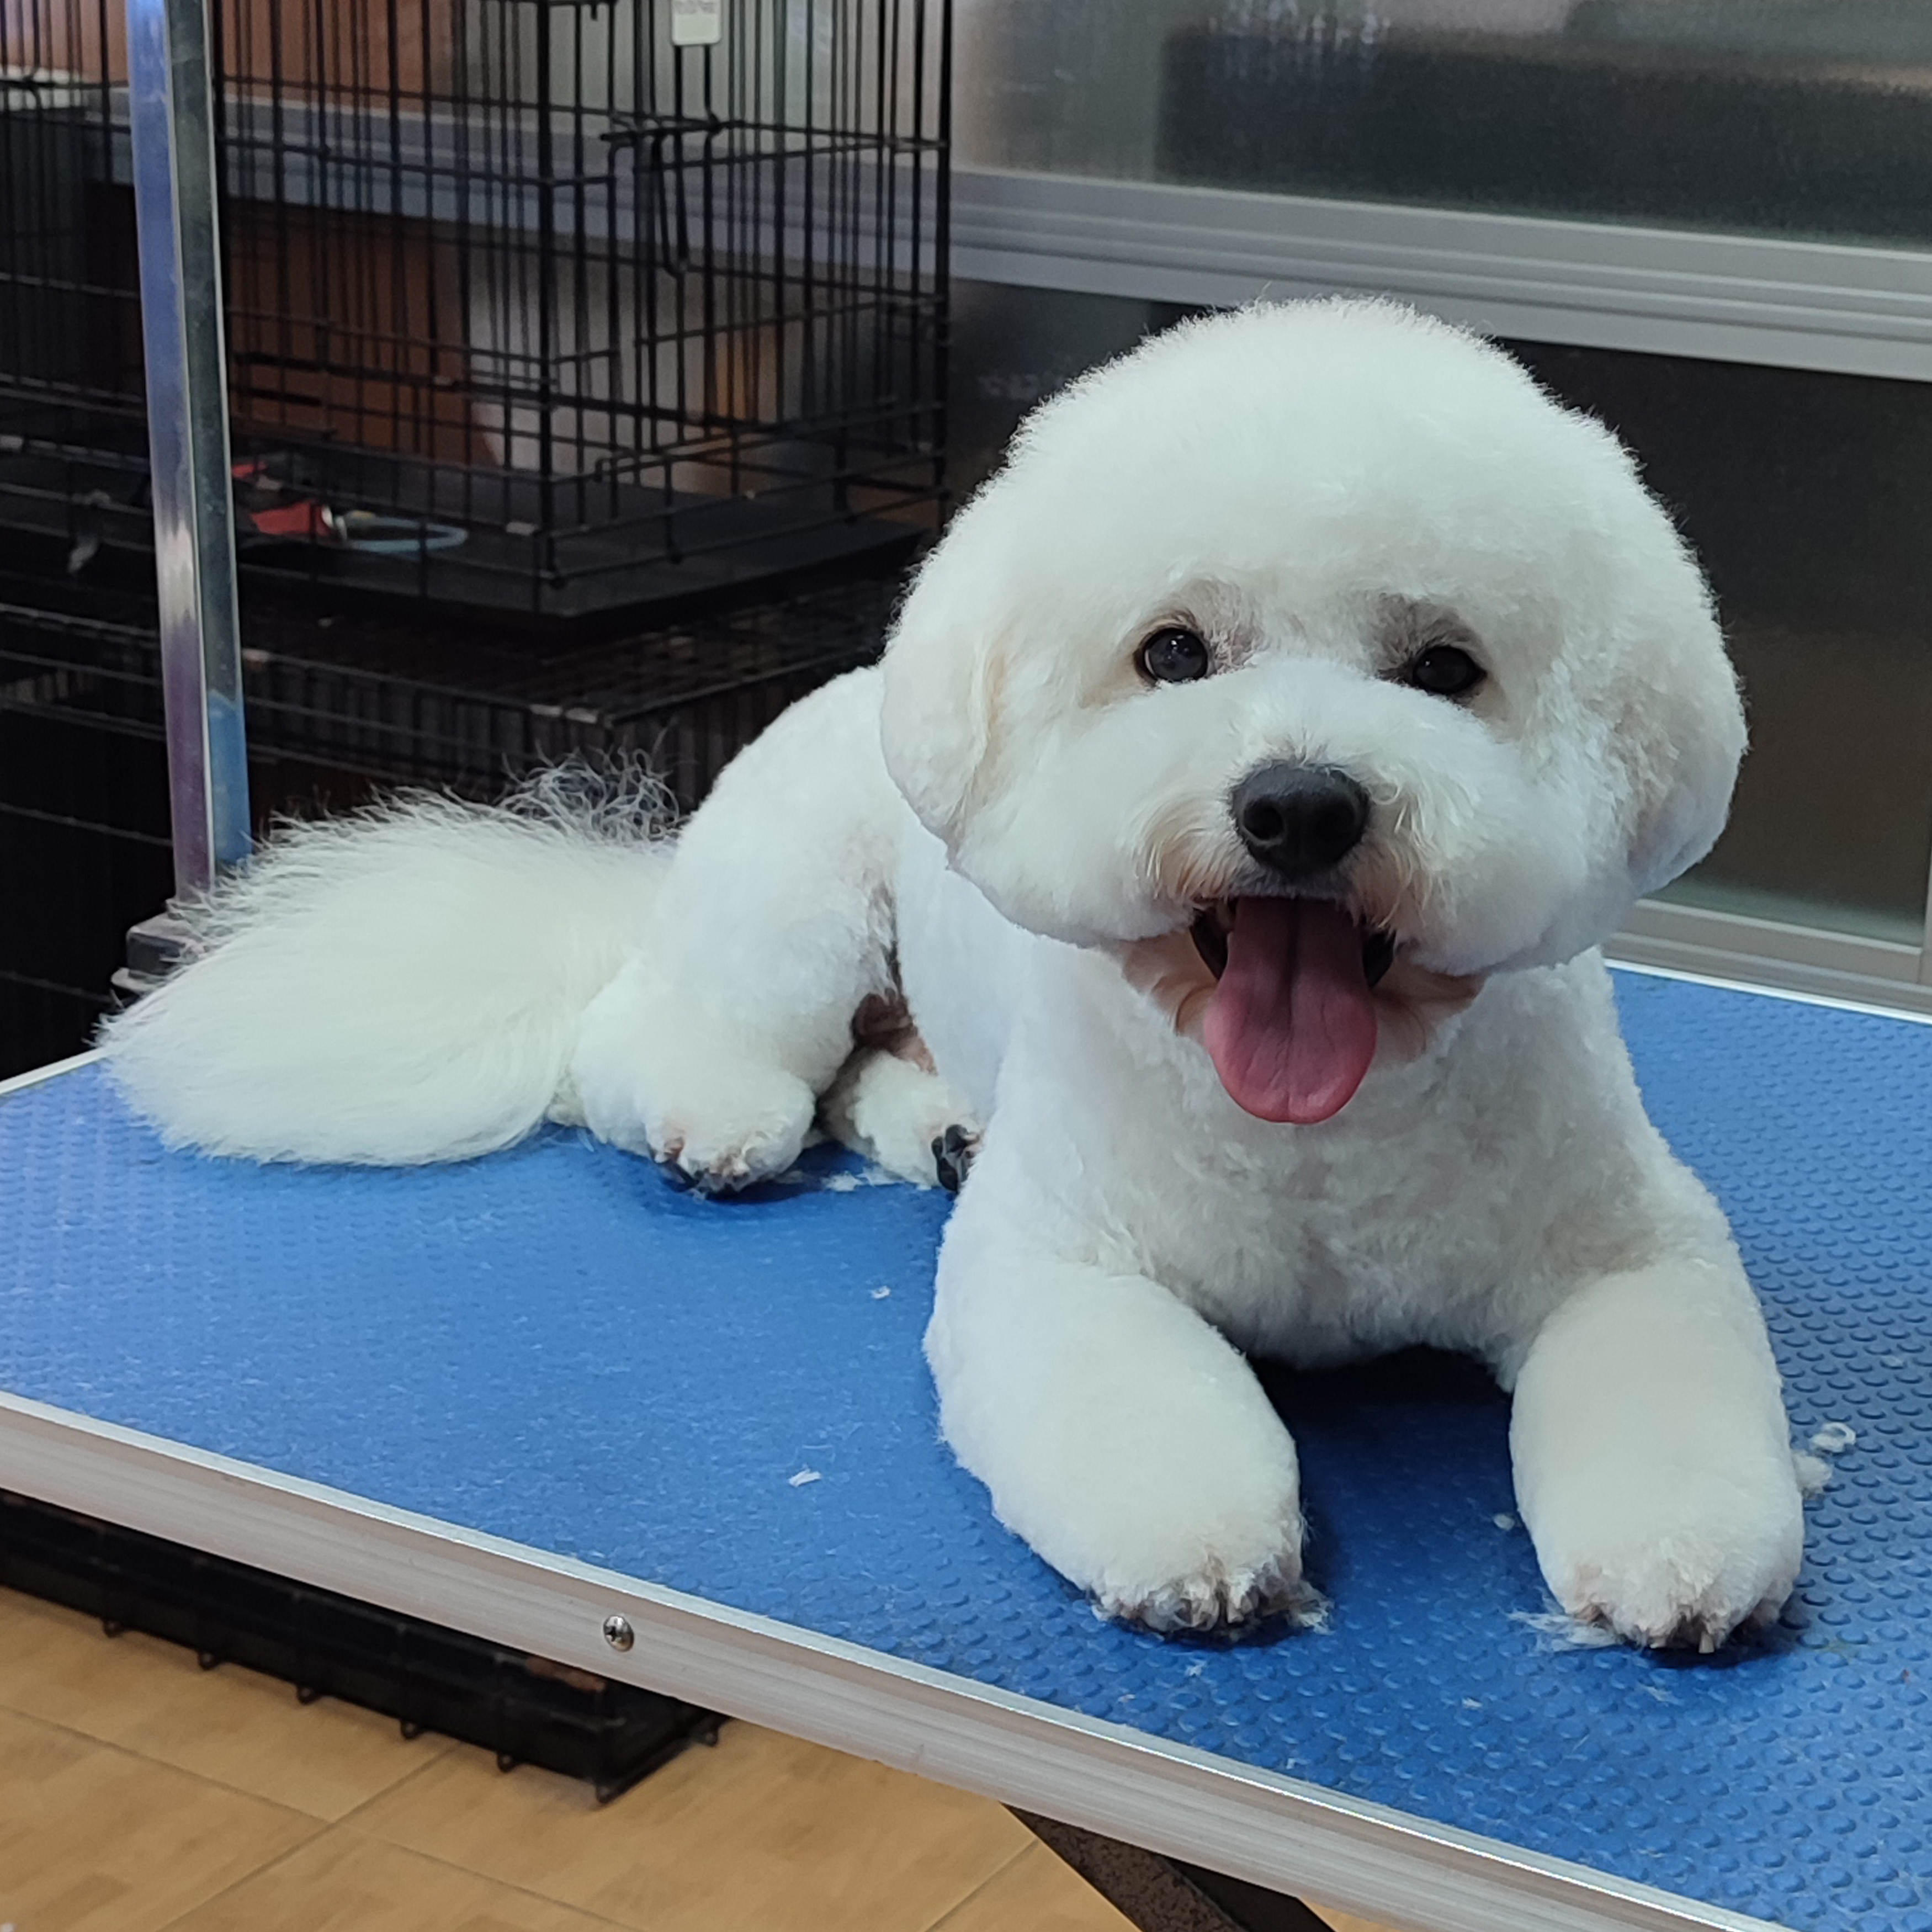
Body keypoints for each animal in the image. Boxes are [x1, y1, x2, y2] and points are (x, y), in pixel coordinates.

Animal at [105, 298, 1808, 1646]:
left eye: (1447, 668)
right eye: (1172, 652)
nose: (1300, 806)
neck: (1315, 1138)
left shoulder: (1630, 1242)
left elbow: (1661, 1381)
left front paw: (1681, 1555)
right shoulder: (1058, 1263)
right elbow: (1137, 1399)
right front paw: (1200, 1545)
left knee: (869, 1065)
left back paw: (932, 1124)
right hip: (790, 915)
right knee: (645, 1043)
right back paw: (722, 1116)